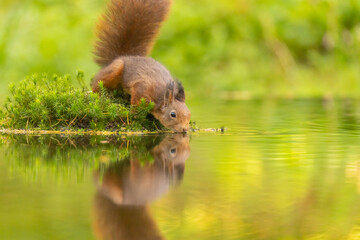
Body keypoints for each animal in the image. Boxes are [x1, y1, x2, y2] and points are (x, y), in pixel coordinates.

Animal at [91, 0, 190, 133]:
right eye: (173, 114)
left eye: (189, 114)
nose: (185, 129)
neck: (160, 96)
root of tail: (125, 56)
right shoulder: (143, 90)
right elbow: (136, 102)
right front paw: (133, 115)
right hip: (115, 69)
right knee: (97, 83)